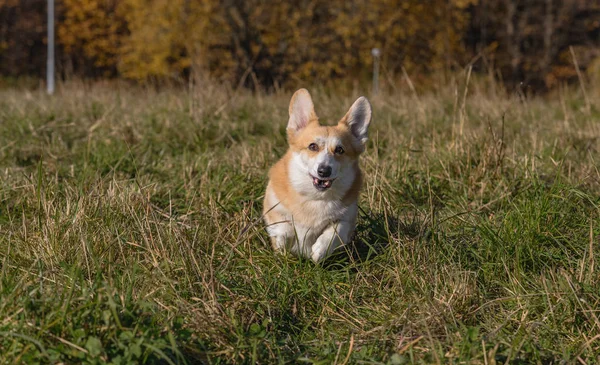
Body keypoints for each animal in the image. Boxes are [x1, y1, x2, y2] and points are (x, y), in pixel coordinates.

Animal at [262, 88, 370, 262]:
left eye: (340, 150)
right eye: (312, 146)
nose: (324, 171)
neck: (315, 198)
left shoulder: (348, 218)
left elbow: (337, 229)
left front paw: (320, 250)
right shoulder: (272, 207)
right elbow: (283, 225)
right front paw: (284, 241)